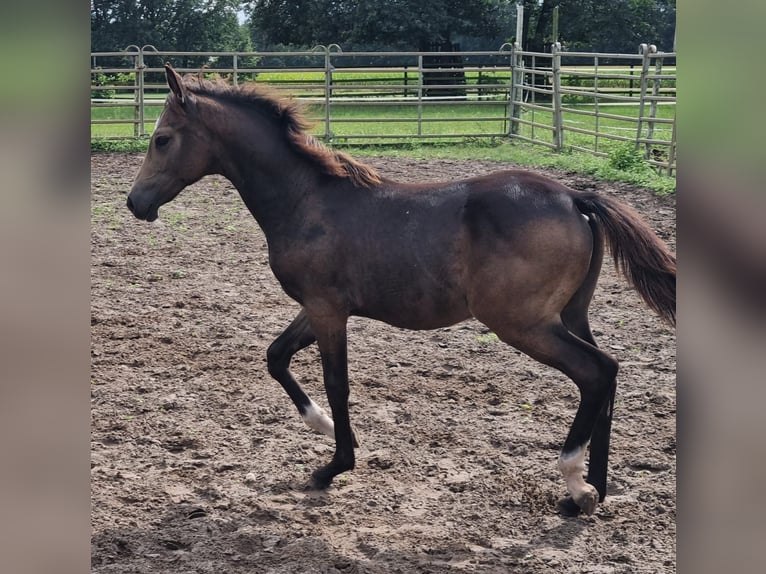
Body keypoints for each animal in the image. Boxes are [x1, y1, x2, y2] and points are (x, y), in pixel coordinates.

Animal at [129, 65, 676, 520]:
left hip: (523, 323)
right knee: (610, 374)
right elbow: (276, 357)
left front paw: (334, 464)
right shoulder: (319, 307)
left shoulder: (328, 311)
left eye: (162, 139)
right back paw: (595, 489)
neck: (306, 200)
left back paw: (576, 485)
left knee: (595, 372)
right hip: (571, 314)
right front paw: (323, 427)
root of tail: (575, 197)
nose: (135, 203)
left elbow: (337, 382)